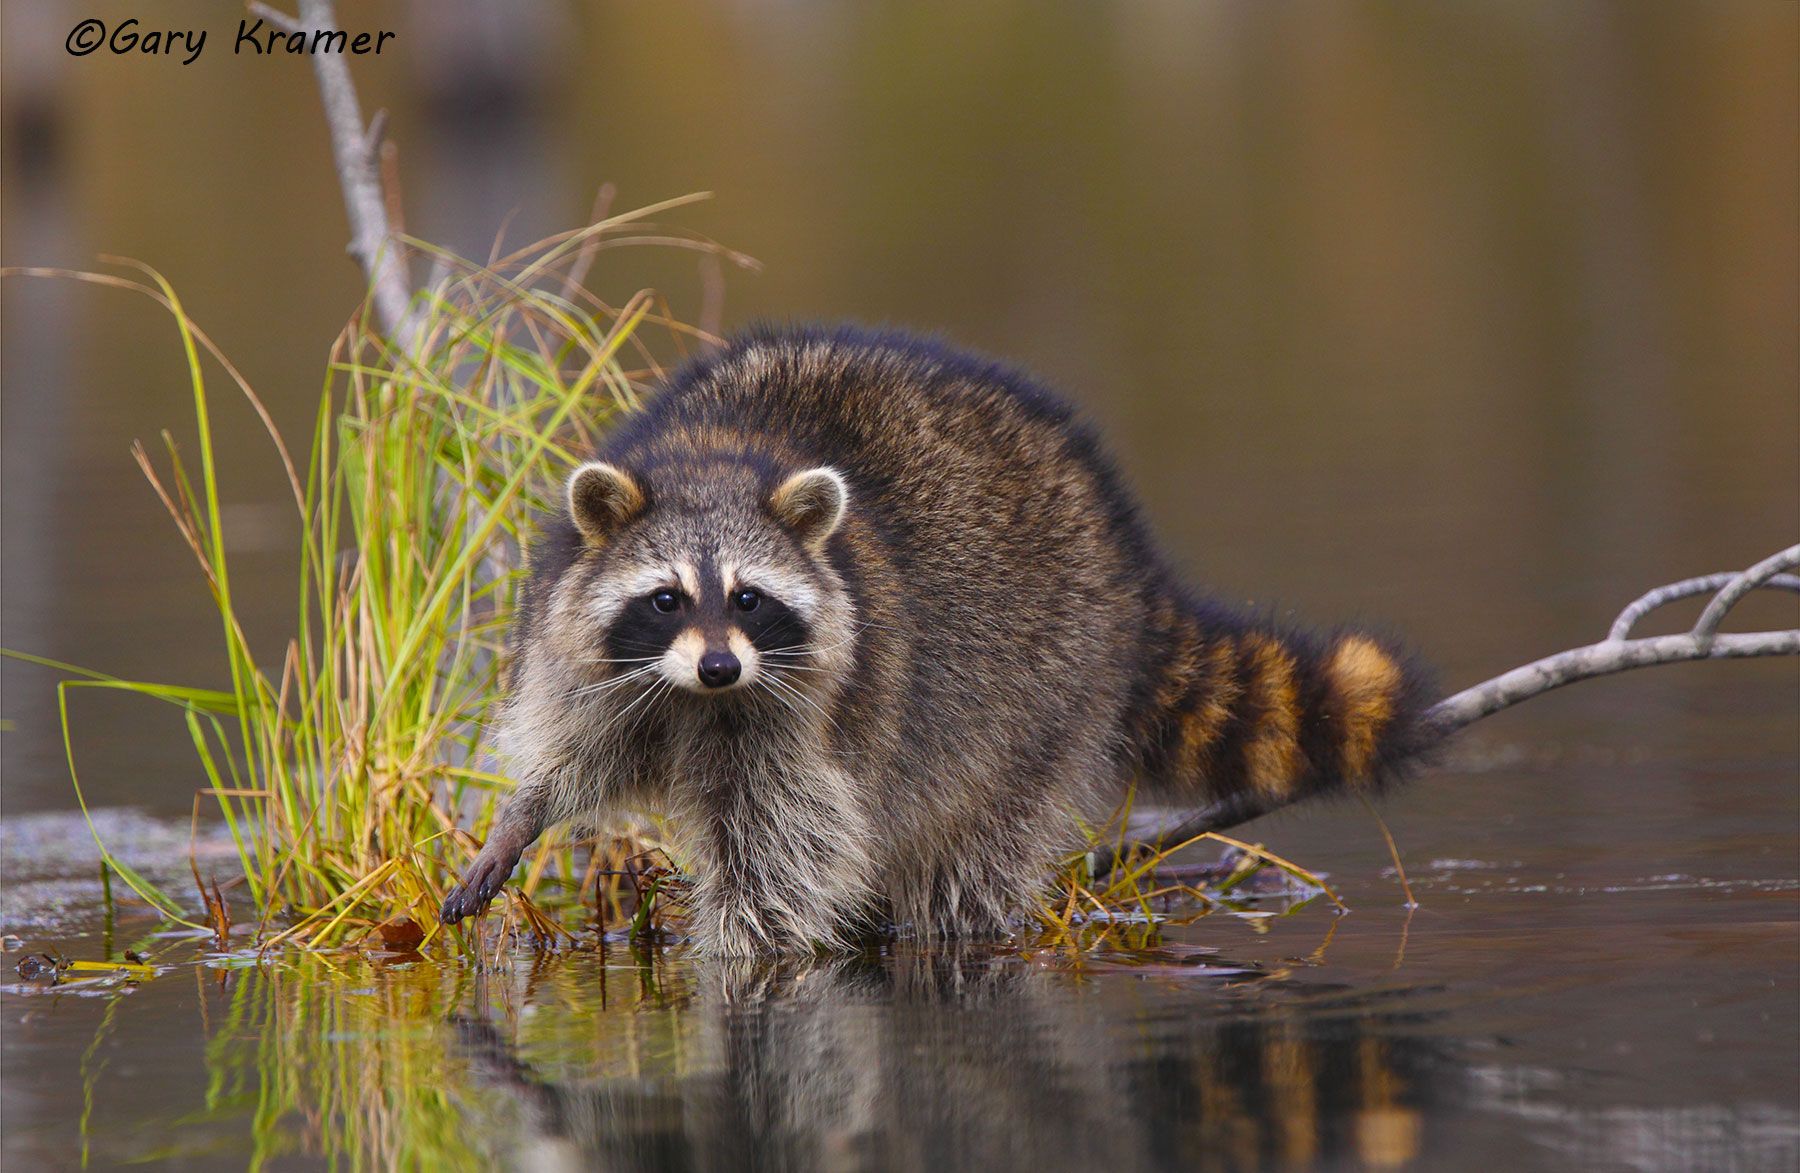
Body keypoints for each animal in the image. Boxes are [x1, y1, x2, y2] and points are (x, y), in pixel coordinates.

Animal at [439, 326, 1435, 953]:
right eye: (666, 598)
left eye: (751, 599)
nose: (720, 665)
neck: (713, 458)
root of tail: (1124, 546)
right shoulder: (589, 654)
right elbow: (576, 753)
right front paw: (518, 818)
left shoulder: (808, 709)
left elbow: (784, 844)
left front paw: (742, 952)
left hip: (1047, 674)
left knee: (977, 836)